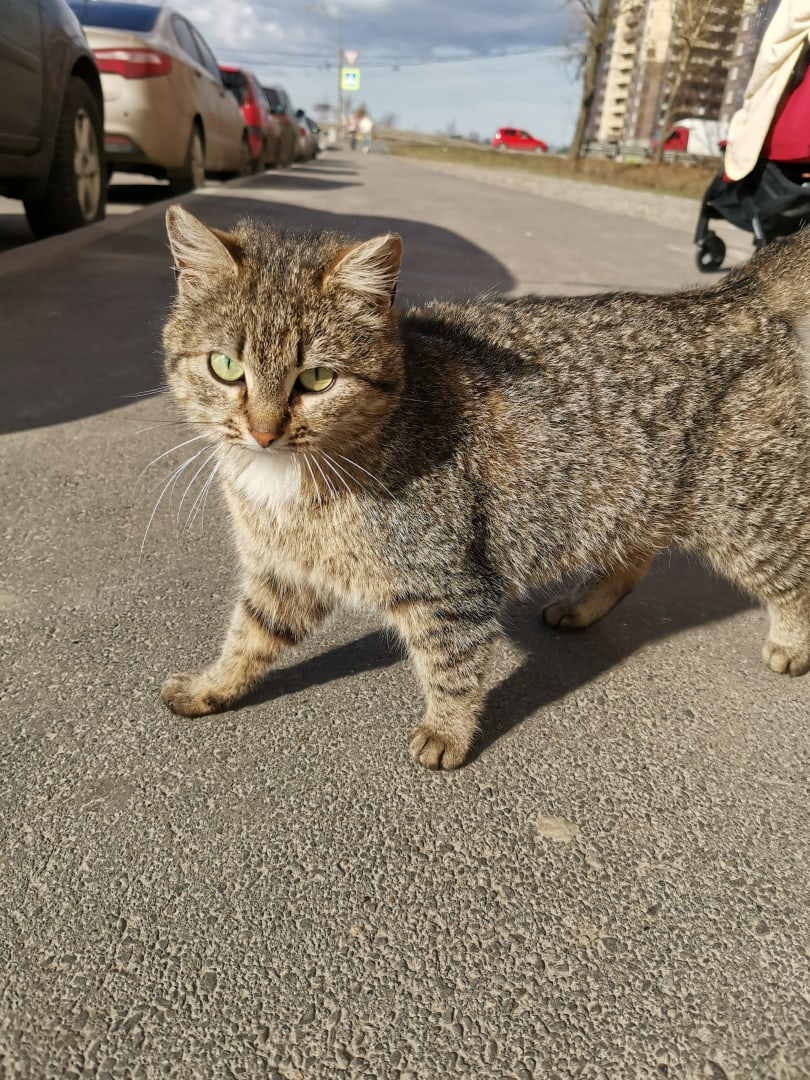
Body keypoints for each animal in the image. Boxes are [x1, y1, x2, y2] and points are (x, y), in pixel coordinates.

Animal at [159, 204, 810, 768]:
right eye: (226, 367)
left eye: (317, 378)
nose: (263, 431)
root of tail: (728, 294)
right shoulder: (283, 572)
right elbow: (248, 639)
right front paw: (212, 686)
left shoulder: (449, 584)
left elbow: (452, 666)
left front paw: (447, 732)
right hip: (631, 501)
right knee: (633, 559)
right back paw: (582, 605)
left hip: (747, 517)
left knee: (795, 572)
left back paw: (792, 643)